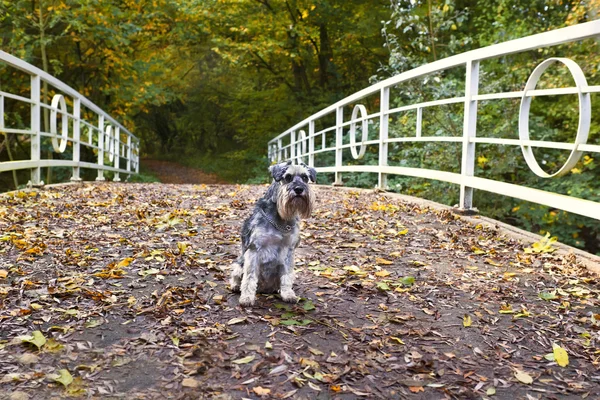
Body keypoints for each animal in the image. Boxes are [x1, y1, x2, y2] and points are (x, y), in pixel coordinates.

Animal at [230, 161, 316, 304]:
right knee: (238, 276)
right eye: (288, 177)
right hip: (239, 264)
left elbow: (286, 276)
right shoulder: (254, 249)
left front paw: (288, 294)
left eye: (305, 177)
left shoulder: (288, 251)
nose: (299, 189)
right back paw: (236, 286)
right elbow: (250, 276)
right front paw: (247, 297)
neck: (281, 220)